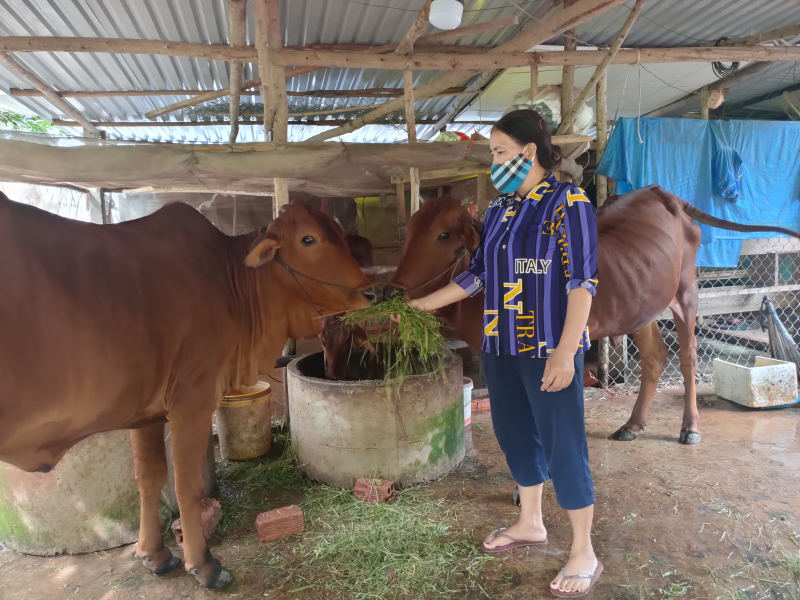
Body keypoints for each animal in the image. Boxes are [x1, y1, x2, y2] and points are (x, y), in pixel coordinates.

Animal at [0, 195, 376, 588]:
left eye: (339, 234)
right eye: (308, 239)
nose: (370, 291)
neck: (231, 281)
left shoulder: (146, 414)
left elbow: (149, 479)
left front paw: (153, 554)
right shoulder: (192, 401)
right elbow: (187, 485)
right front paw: (204, 565)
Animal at [382, 188, 800, 446]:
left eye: (443, 235)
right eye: (409, 230)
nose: (394, 292)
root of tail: (662, 194)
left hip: (686, 294)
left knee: (688, 358)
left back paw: (690, 427)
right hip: (640, 304)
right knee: (654, 358)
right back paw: (632, 425)